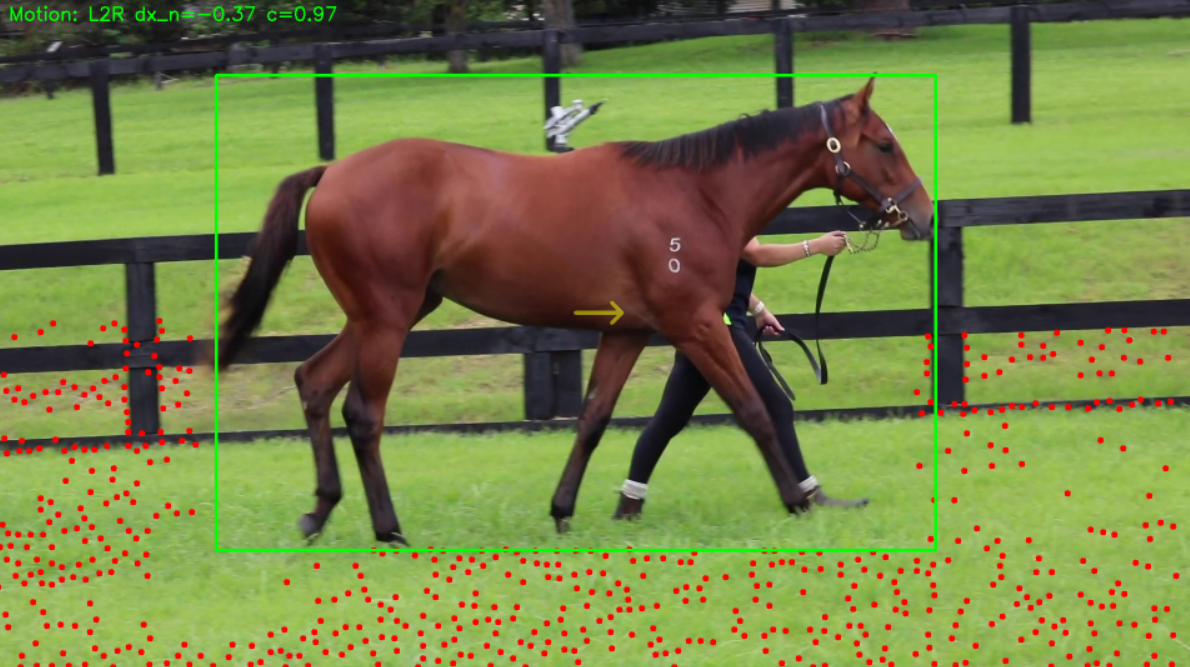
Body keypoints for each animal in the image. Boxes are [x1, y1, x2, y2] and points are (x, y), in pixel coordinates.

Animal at [213, 78, 933, 545]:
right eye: (884, 143)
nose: (921, 215)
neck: (695, 193)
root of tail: (332, 172)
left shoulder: (629, 332)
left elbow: (593, 419)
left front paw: (563, 510)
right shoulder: (695, 323)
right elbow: (754, 409)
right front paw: (797, 501)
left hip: (381, 315)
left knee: (312, 382)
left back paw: (319, 512)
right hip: (387, 319)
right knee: (363, 414)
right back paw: (388, 529)